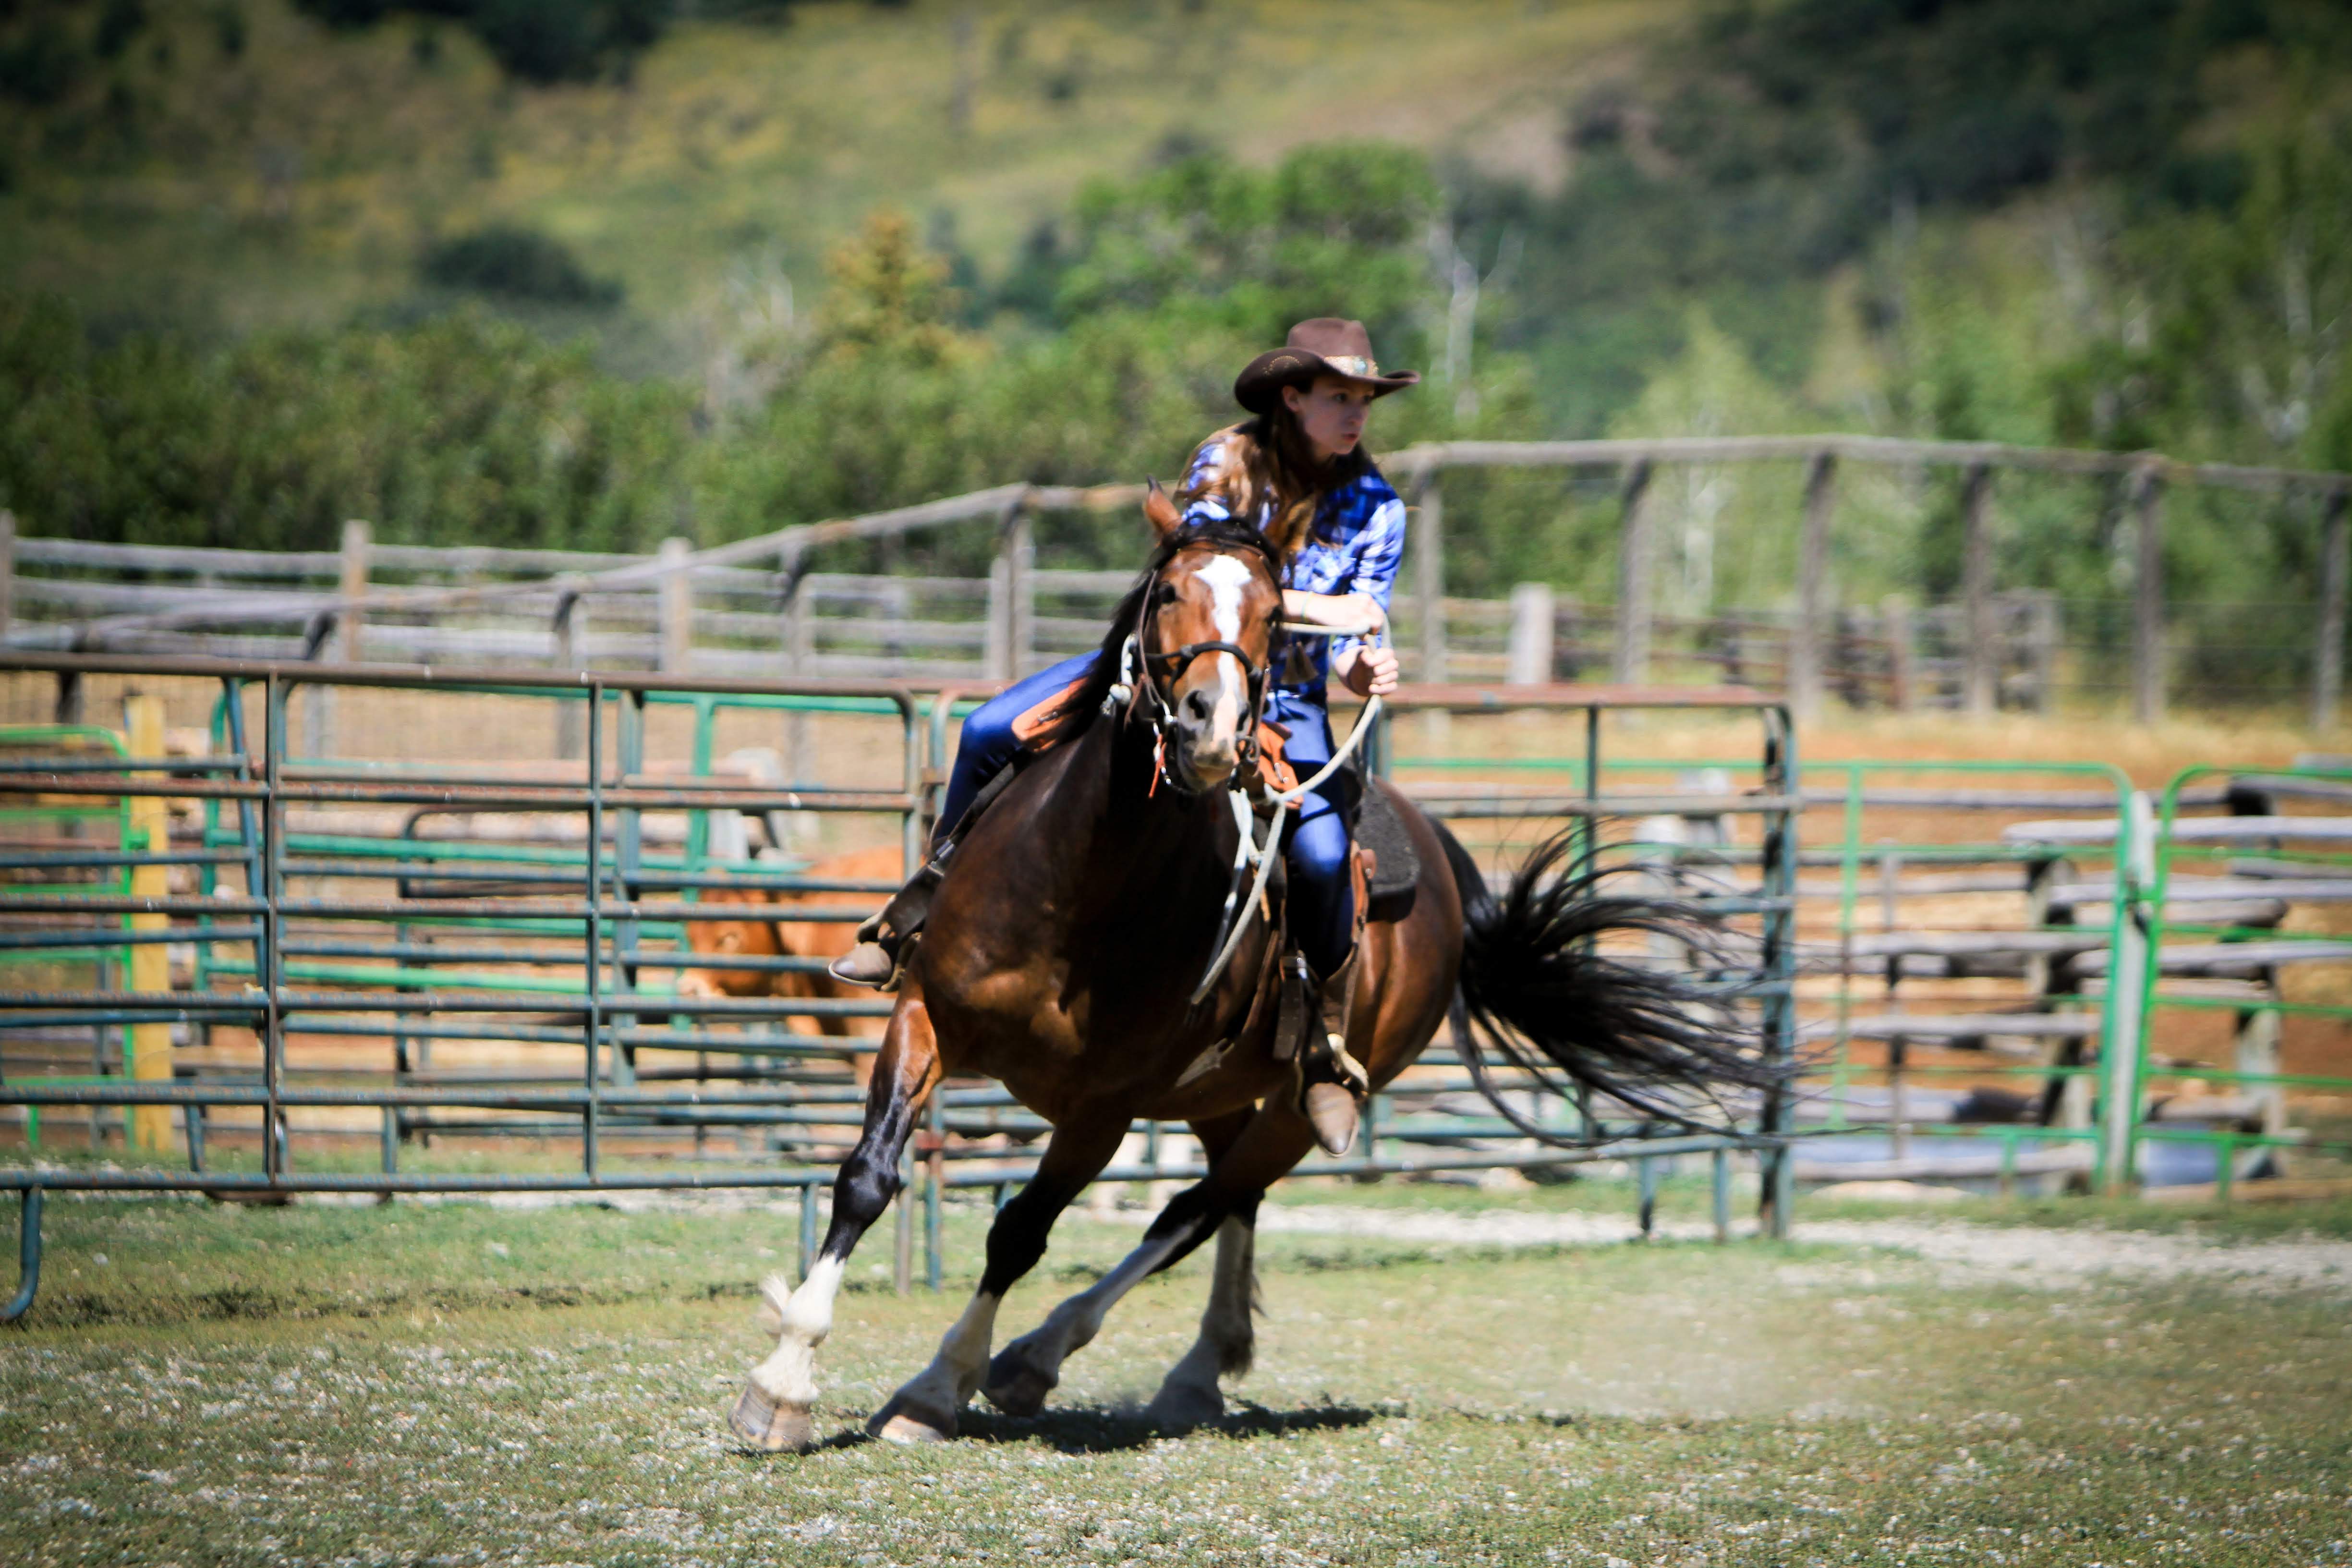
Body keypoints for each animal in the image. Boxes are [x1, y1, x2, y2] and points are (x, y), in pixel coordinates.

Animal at [724, 496, 1769, 1457]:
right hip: (1223, 1091)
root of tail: (1442, 860)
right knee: (1229, 1205)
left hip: (1298, 1110)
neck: (1076, 888)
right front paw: (784, 1379)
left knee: (1199, 1206)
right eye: (1168, 592)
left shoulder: (1102, 1109)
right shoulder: (926, 1019)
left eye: (1273, 612)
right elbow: (867, 1179)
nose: (1210, 726)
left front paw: (934, 1388)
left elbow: (1019, 1231)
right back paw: (1197, 1368)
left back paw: (1046, 1358)